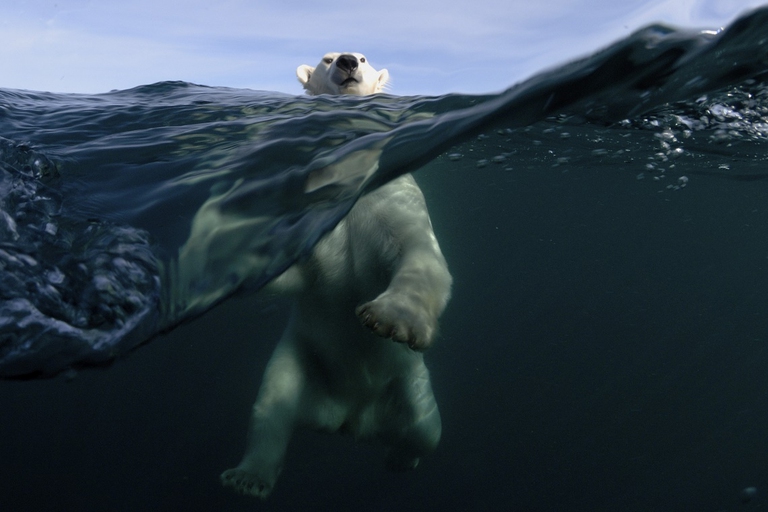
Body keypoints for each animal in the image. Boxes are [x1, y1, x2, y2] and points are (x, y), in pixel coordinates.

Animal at [220, 53, 452, 499]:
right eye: (326, 59)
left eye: (363, 58)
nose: (346, 62)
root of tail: (350, 418)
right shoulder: (311, 210)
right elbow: (295, 273)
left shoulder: (390, 196)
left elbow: (417, 251)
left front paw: (392, 318)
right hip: (300, 359)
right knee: (272, 408)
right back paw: (247, 477)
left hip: (408, 383)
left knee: (425, 430)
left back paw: (400, 458)